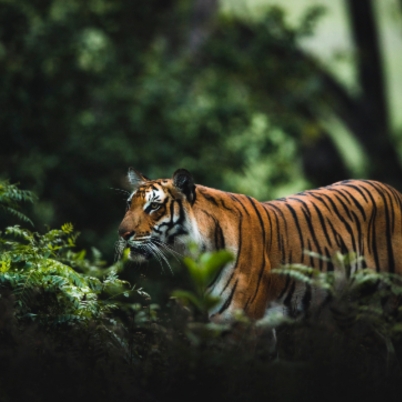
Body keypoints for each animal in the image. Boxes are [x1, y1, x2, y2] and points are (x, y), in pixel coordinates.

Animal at [117, 168, 402, 322]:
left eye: (153, 206)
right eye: (129, 204)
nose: (122, 233)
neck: (198, 250)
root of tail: (393, 190)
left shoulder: (237, 321)